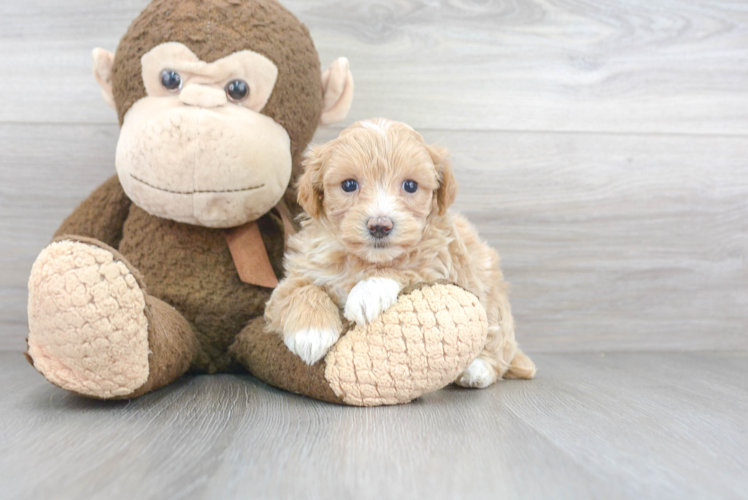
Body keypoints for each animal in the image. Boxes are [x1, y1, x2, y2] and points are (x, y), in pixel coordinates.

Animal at [266, 119, 536, 388]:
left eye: (410, 185)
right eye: (349, 185)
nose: (380, 225)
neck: (365, 260)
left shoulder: (443, 263)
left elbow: (409, 267)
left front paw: (367, 293)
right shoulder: (299, 272)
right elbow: (298, 290)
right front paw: (311, 333)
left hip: (494, 303)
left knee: (499, 347)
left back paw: (476, 370)